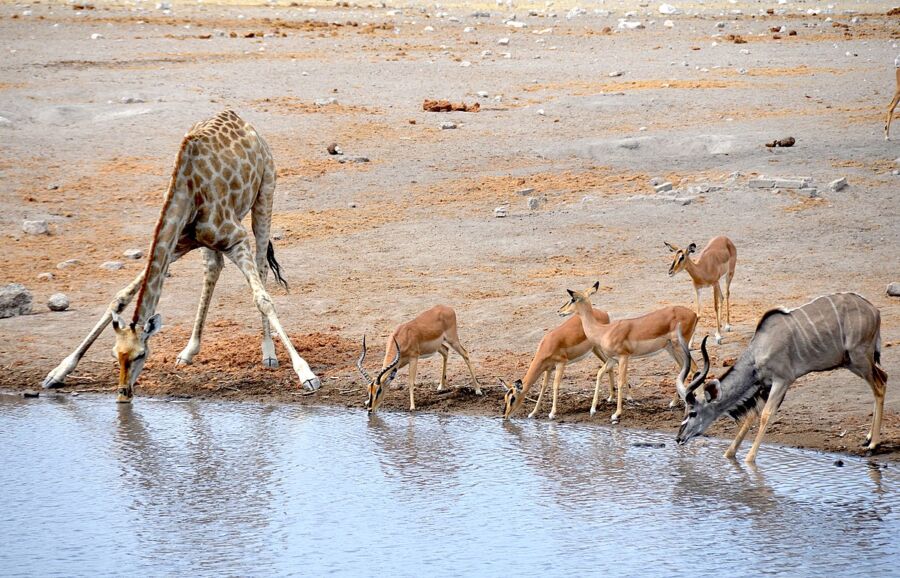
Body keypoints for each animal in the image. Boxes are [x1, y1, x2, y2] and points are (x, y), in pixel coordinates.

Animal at [43, 110, 324, 402]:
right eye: (115, 354)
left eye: (141, 354)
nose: (123, 393)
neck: (187, 192)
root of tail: (244, 122)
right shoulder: (176, 244)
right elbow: (120, 297)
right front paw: (58, 371)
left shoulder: (237, 238)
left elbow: (263, 300)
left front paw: (307, 375)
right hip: (207, 242)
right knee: (213, 268)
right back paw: (189, 351)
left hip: (265, 192)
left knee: (261, 265)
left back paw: (268, 354)